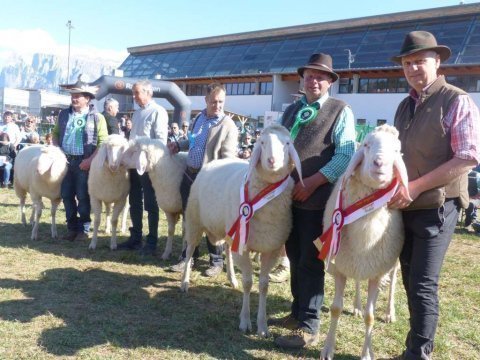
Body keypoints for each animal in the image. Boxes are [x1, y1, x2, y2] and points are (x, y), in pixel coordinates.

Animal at [180, 124, 304, 338]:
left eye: (287, 143)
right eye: (262, 142)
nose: (272, 161)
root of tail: (215, 161)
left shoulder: (271, 248)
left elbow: (263, 286)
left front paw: (262, 326)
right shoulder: (245, 248)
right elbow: (248, 283)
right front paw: (245, 321)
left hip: (232, 231)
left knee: (228, 251)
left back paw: (231, 279)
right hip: (195, 221)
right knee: (189, 252)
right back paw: (185, 282)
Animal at [316, 124, 410, 360]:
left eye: (396, 150)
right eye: (366, 145)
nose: (379, 163)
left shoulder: (377, 272)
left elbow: (370, 317)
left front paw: (367, 353)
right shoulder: (340, 265)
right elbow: (336, 309)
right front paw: (328, 348)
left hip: (391, 263)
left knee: (393, 282)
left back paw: (389, 312)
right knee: (358, 280)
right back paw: (357, 305)